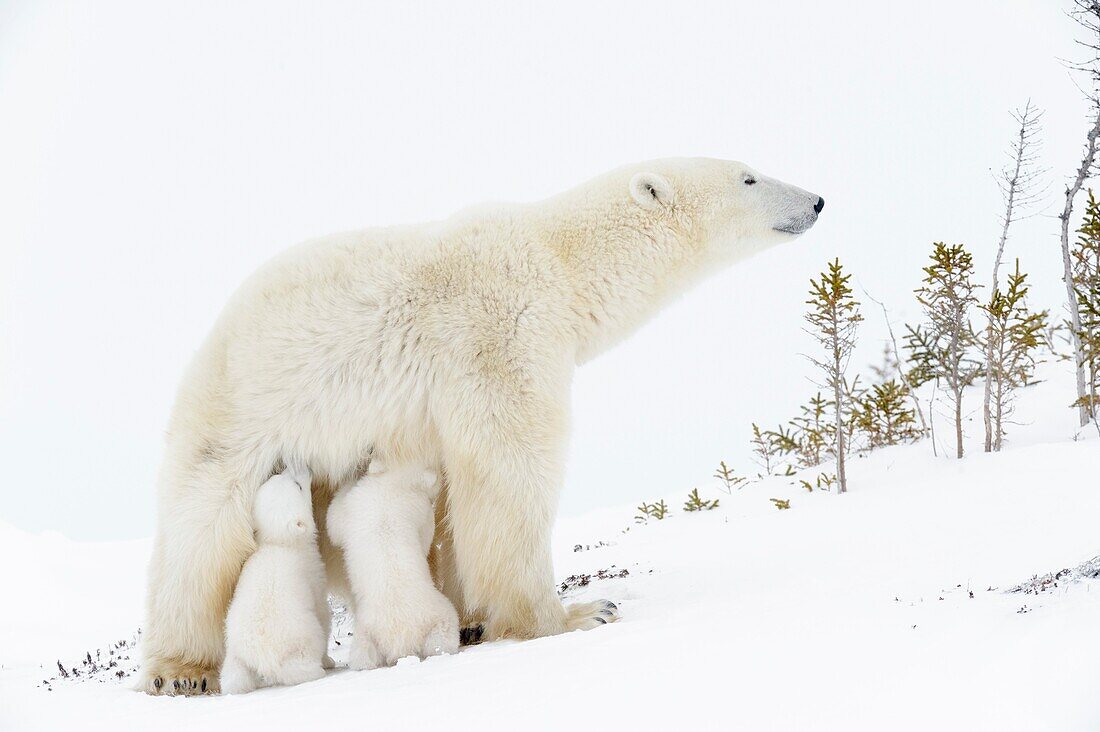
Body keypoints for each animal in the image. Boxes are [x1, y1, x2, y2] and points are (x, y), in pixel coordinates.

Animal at [216, 464, 332, 695]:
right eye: (298, 486)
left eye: (278, 475)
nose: (302, 466)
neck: (277, 542)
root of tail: (262, 657)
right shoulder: (311, 571)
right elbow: (322, 610)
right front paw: (329, 660)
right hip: (298, 638)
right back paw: (318, 670)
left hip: (235, 651)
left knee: (234, 676)